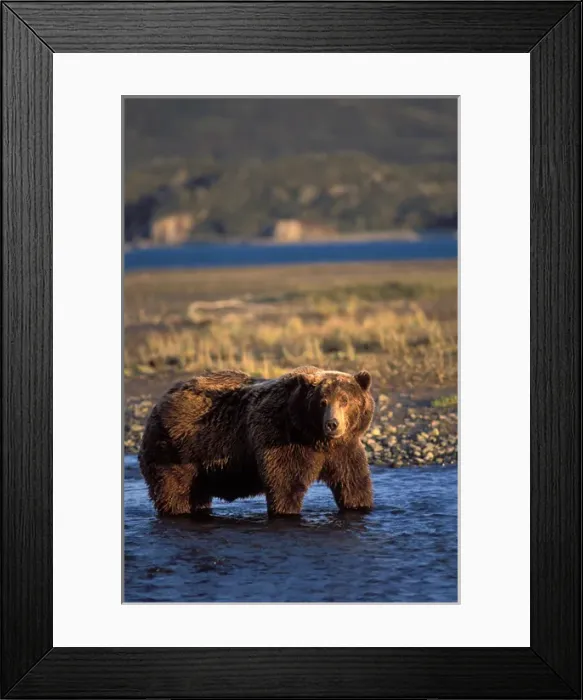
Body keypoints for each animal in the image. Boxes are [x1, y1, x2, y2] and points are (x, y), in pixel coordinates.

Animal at [138, 366, 375, 518]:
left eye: (345, 400)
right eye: (322, 402)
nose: (332, 424)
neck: (315, 438)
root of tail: (161, 401)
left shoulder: (345, 448)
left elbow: (352, 481)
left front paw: (359, 506)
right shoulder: (281, 437)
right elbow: (285, 483)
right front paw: (286, 511)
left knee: (196, 495)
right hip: (174, 451)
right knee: (174, 493)